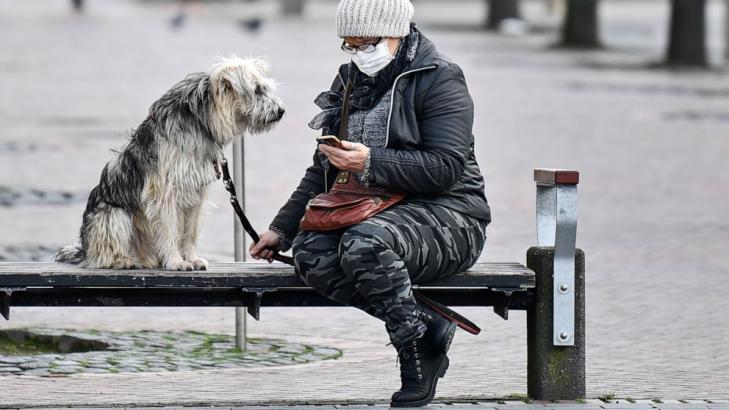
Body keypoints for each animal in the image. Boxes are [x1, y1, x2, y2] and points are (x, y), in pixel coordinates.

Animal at [55, 56, 282, 270]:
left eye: (265, 88)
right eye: (257, 90)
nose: (281, 110)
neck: (201, 122)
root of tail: (86, 250)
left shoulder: (196, 193)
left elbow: (190, 231)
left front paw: (191, 258)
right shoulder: (164, 192)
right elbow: (169, 229)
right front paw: (176, 261)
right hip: (113, 216)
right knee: (103, 255)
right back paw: (123, 260)